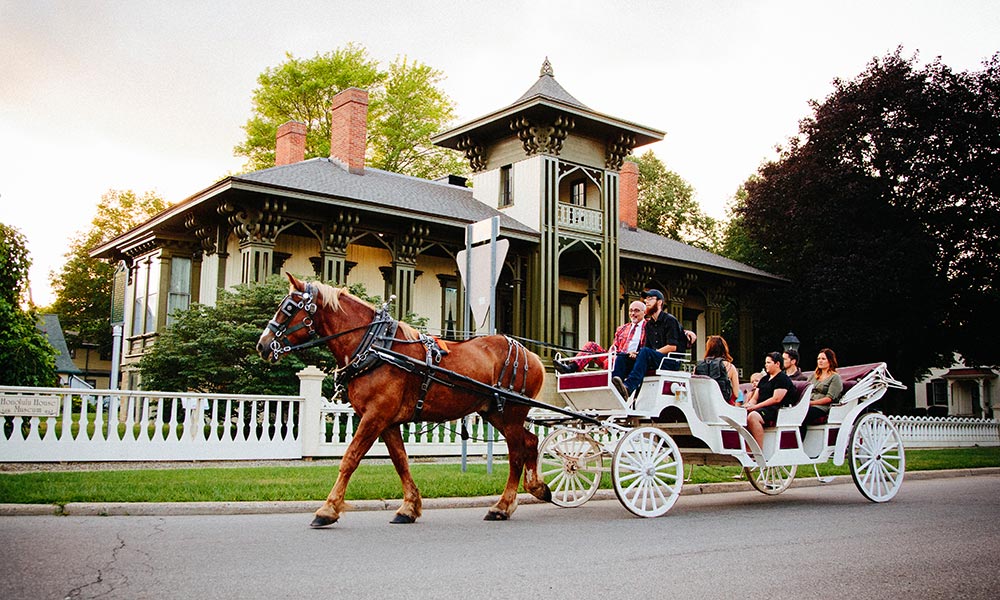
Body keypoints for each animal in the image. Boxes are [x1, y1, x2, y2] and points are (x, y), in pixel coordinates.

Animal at [256, 274, 556, 528]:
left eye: (288, 308)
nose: (262, 344)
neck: (376, 346)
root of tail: (532, 355)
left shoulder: (375, 416)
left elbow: (350, 458)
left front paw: (328, 509)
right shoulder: (387, 421)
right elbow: (400, 461)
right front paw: (409, 507)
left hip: (511, 413)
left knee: (517, 453)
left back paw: (502, 506)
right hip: (496, 413)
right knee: (530, 442)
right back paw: (536, 487)